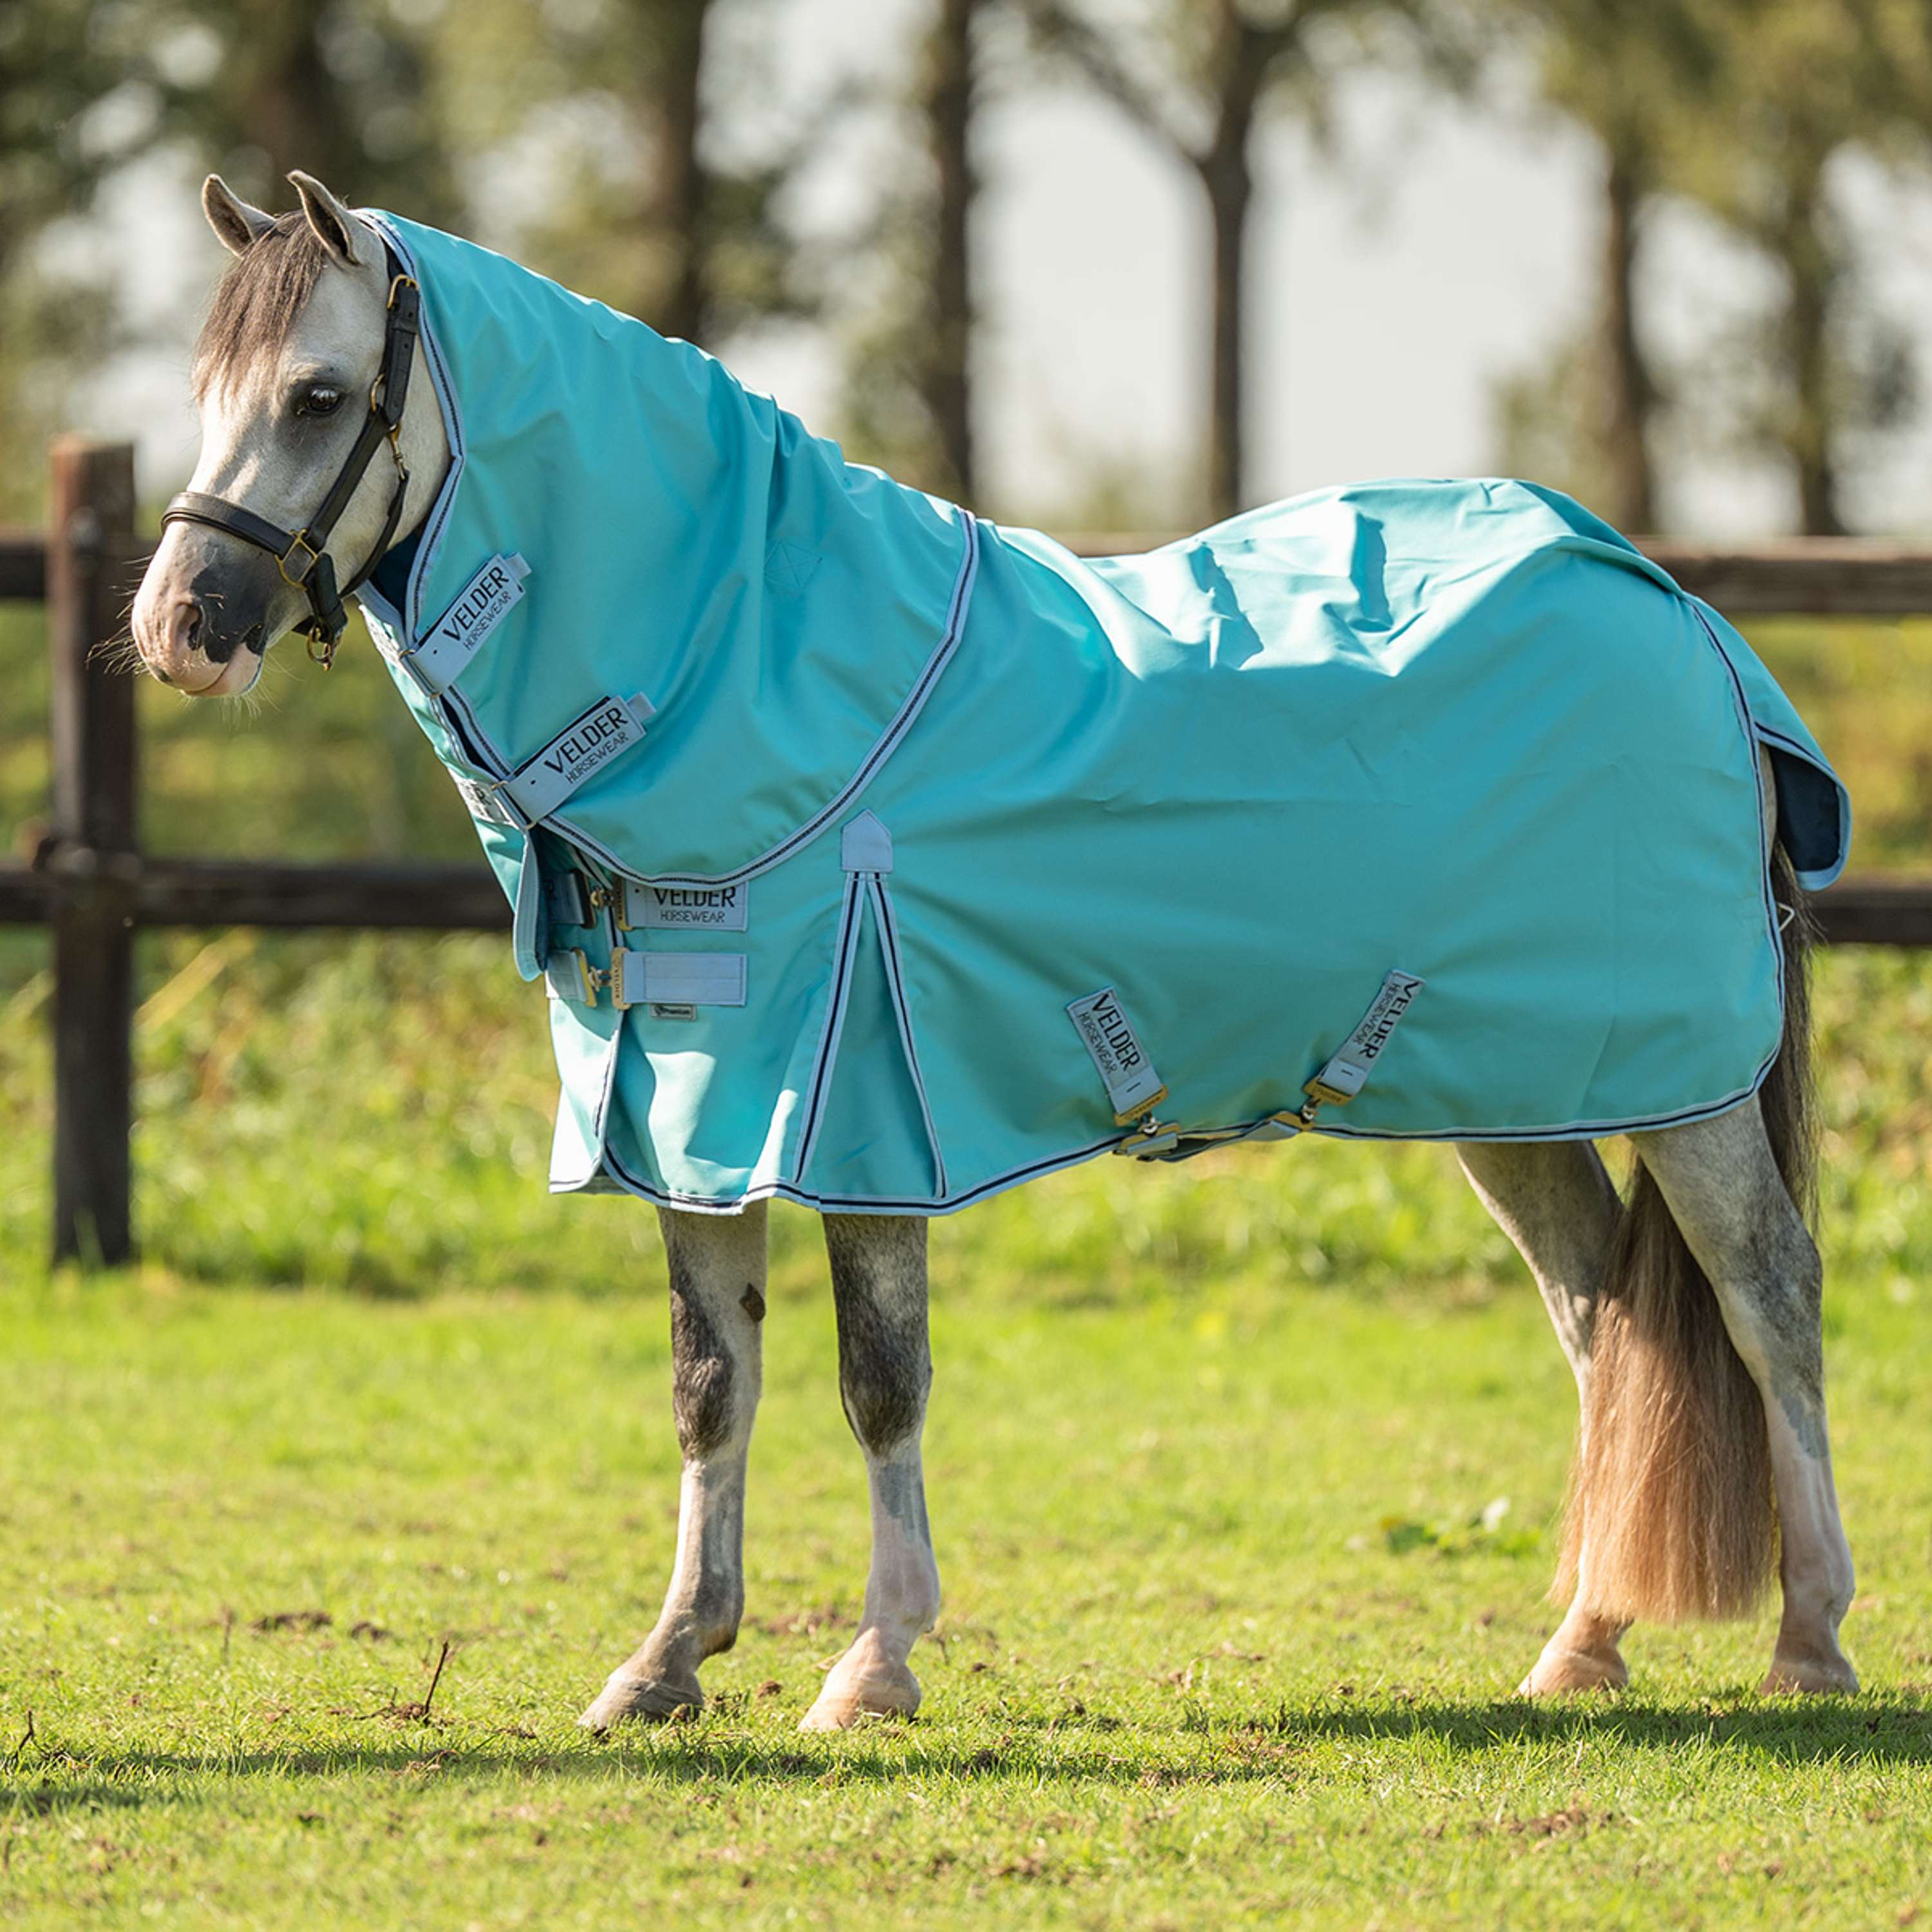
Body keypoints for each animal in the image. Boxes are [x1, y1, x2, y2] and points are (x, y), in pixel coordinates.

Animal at [130, 170, 1859, 1732]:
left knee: (1765, 1295)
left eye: (320, 393)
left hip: (1693, 1089)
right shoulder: (689, 1126)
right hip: (1518, 1093)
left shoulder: (860, 1111)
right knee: (1602, 1322)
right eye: (197, 393)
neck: (767, 686)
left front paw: (874, 1664)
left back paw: (1809, 1640)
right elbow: (710, 1386)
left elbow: (874, 1381)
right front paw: (668, 1659)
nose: (175, 628)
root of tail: (1678, 611)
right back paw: (1581, 1646)